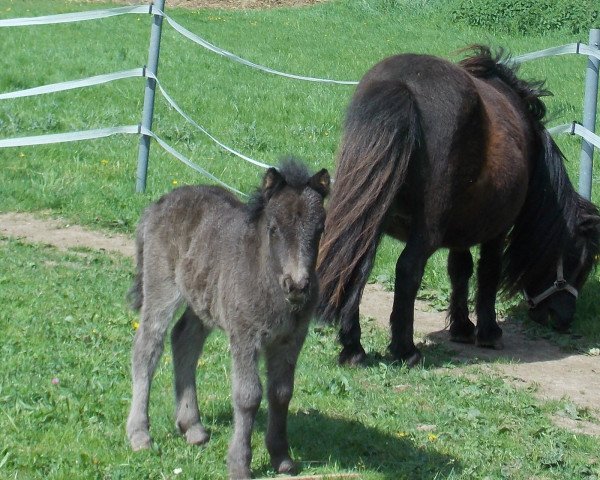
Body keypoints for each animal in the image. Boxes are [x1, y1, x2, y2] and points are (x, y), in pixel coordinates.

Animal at [126, 159, 330, 478]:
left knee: (184, 340)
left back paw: (192, 426)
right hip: (161, 287)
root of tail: (158, 204)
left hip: (202, 300)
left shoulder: (290, 340)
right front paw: (239, 464)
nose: (297, 286)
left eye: (320, 229)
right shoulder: (245, 336)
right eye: (273, 229)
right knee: (147, 348)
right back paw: (139, 434)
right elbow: (248, 396)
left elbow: (281, 393)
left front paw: (281, 457)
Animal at [316, 46, 596, 368]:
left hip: (370, 213)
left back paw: (353, 349)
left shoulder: (462, 230)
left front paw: (462, 327)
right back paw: (405, 350)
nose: (563, 319)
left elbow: (459, 270)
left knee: (357, 263)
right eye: (578, 260)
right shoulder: (497, 230)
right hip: (424, 229)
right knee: (408, 269)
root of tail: (401, 84)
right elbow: (488, 272)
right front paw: (488, 332)